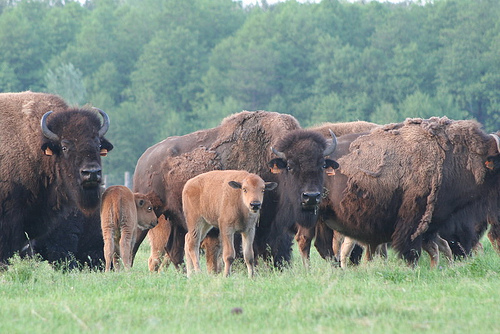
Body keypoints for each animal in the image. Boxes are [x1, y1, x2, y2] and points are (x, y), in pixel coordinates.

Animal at [131, 111, 338, 270]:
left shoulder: (273, 229)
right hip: (147, 215)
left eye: (322, 165)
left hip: (177, 221)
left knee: (175, 251)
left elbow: (276, 253)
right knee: (133, 245)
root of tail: (144, 159)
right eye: (290, 166)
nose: (311, 197)